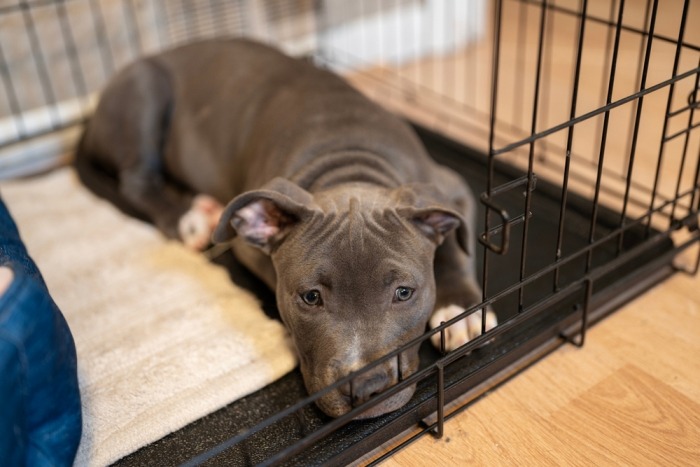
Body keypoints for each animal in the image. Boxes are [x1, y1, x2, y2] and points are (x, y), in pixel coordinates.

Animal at [78, 39, 498, 420]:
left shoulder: (450, 188)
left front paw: (462, 310)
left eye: (404, 293)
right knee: (136, 180)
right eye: (310, 298)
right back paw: (190, 218)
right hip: (144, 87)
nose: (364, 388)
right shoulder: (249, 243)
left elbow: (455, 248)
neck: (350, 162)